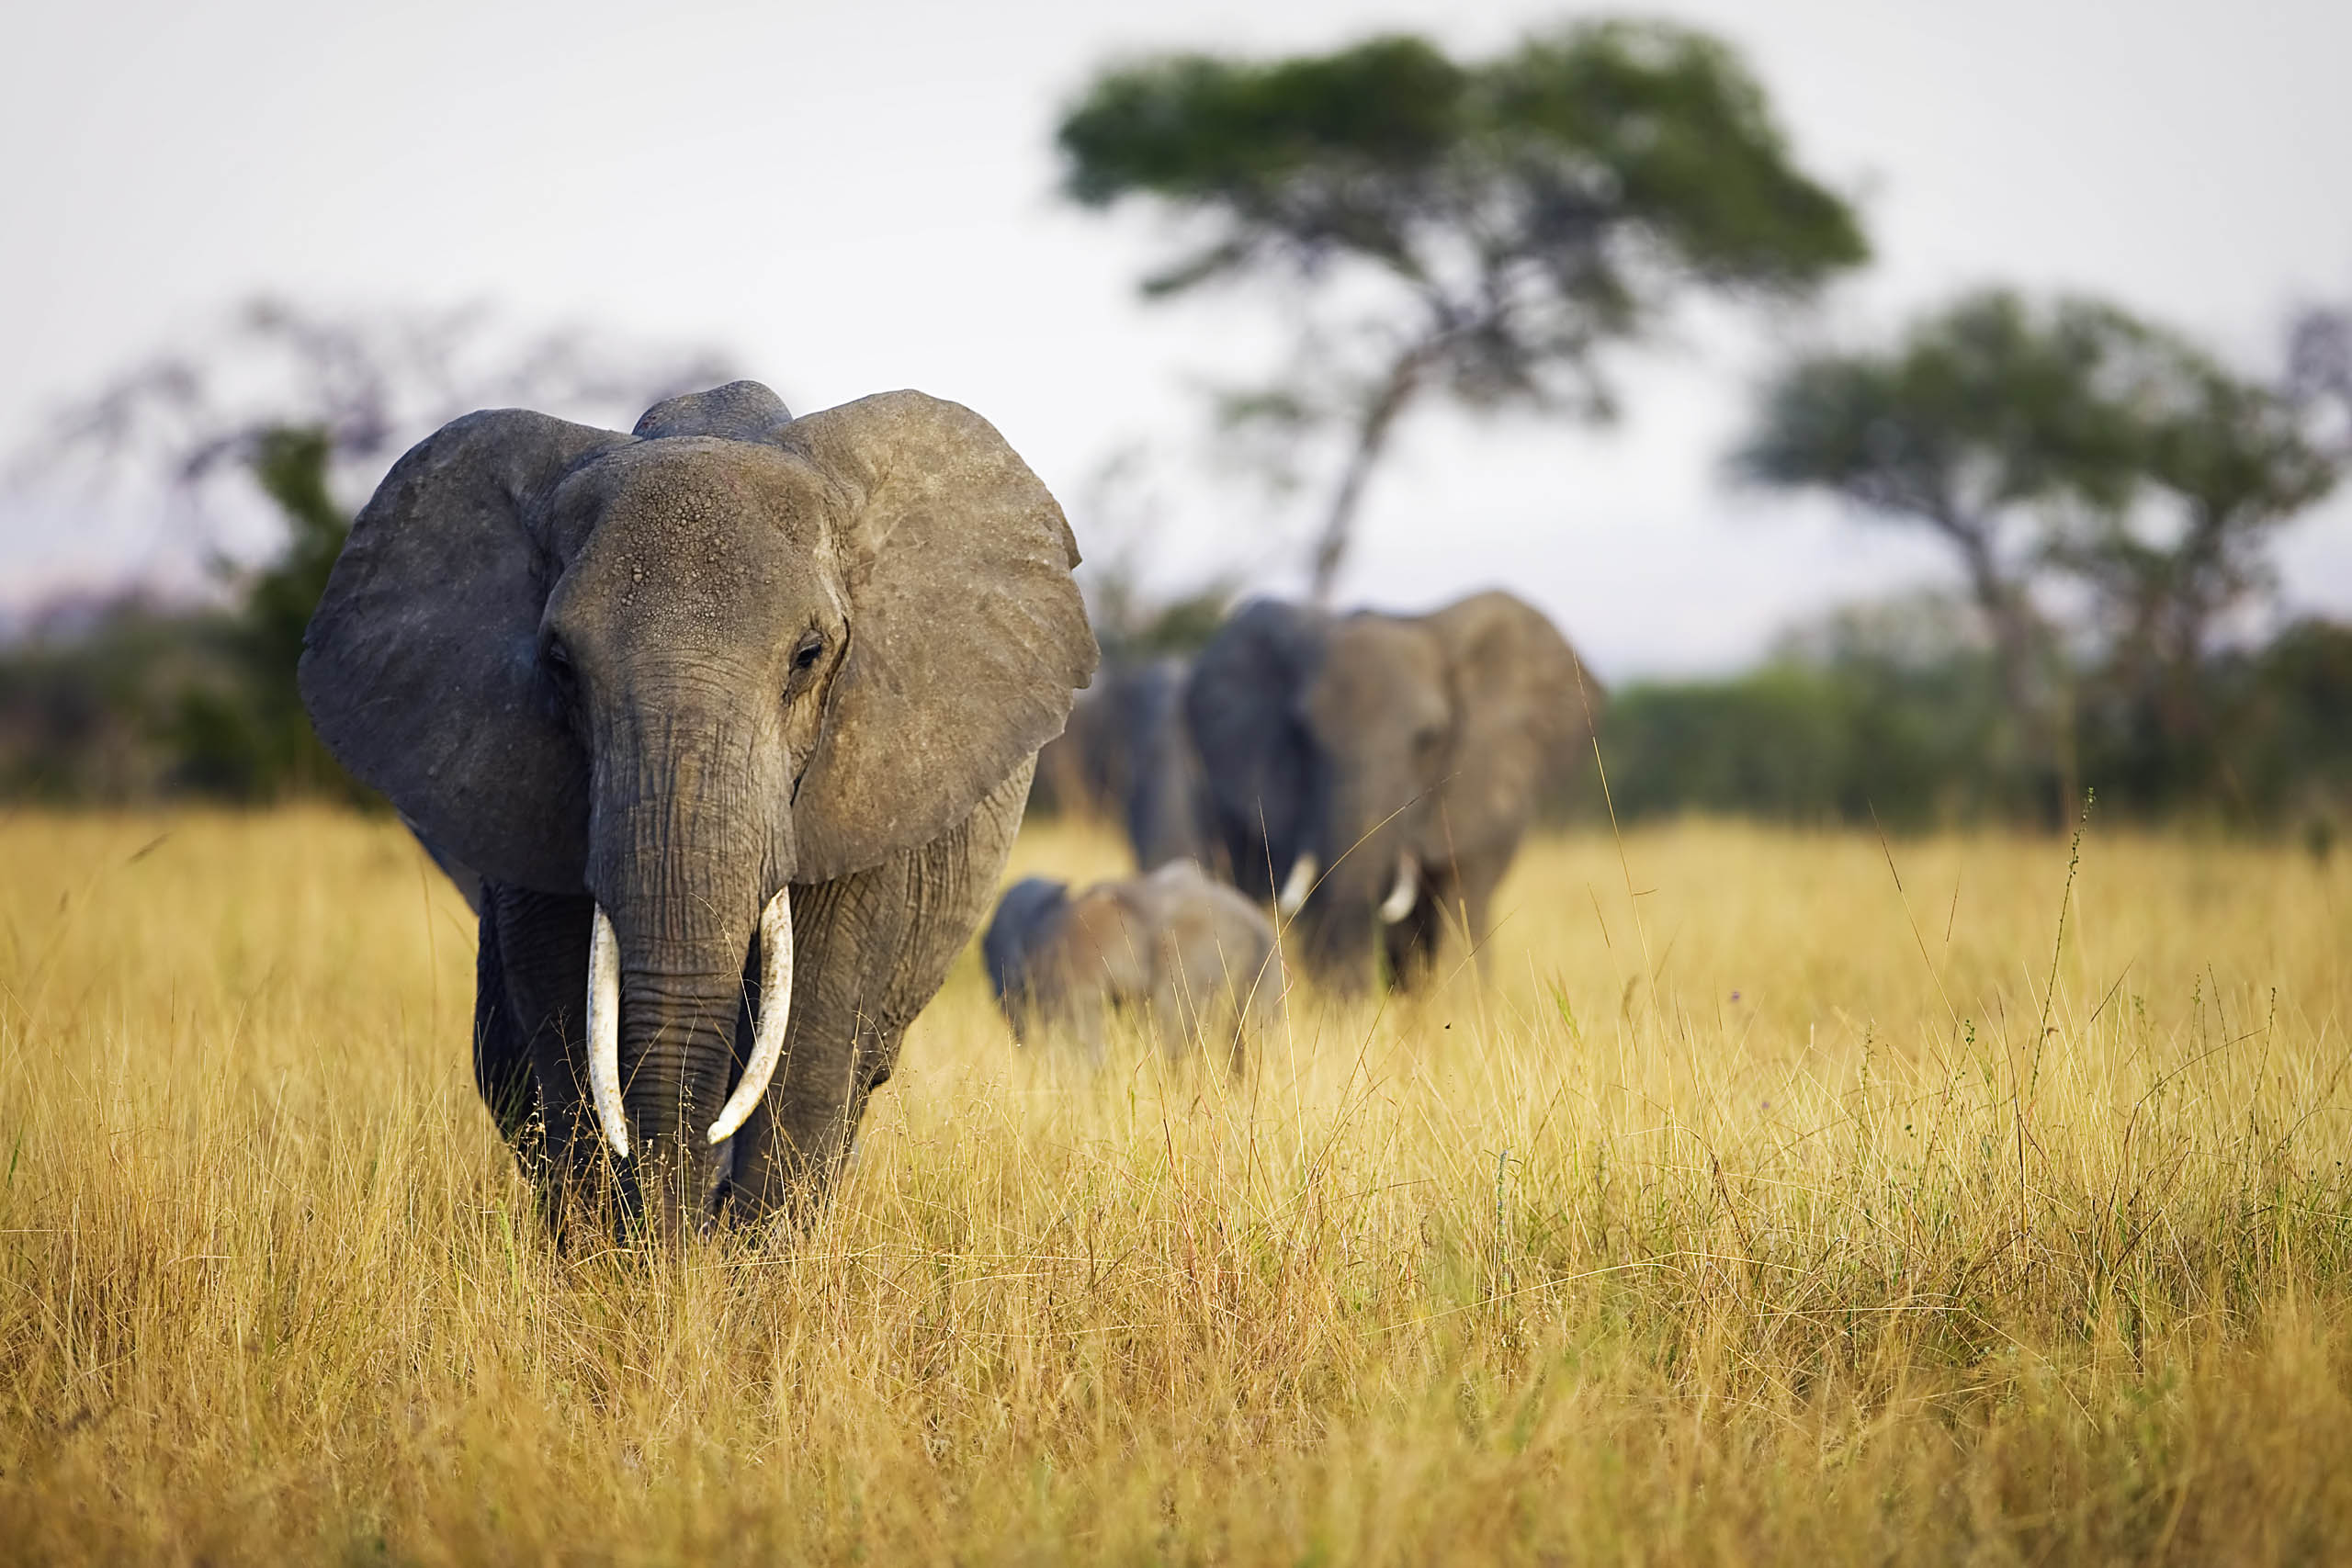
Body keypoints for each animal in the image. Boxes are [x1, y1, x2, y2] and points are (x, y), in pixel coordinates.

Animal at [299, 380, 1095, 1241]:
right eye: (559, 665)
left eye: (809, 657)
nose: (678, 1245)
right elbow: (564, 1021)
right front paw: (617, 1261)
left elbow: (812, 1042)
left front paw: (746, 1270)